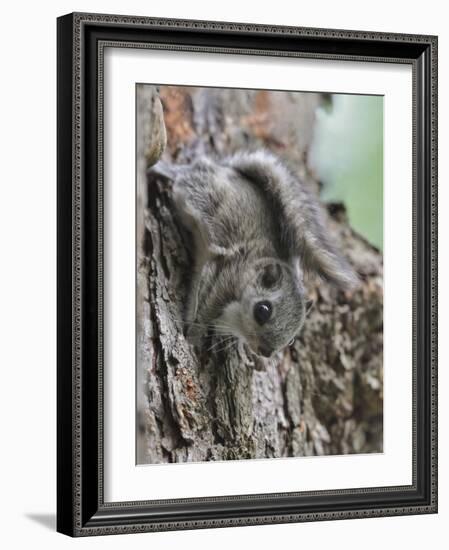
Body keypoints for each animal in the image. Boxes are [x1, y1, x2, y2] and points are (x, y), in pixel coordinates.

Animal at [150, 152, 356, 358]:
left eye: (292, 339)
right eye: (262, 311)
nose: (266, 352)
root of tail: (222, 168)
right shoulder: (224, 276)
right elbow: (203, 307)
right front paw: (193, 337)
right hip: (200, 193)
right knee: (184, 175)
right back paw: (164, 170)